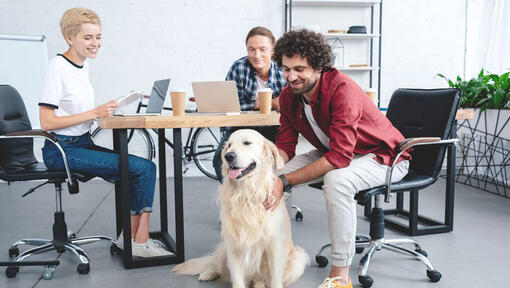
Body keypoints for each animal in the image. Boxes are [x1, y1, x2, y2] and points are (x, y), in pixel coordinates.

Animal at [171, 129, 308, 286]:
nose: (228, 156)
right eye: (229, 145)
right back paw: (207, 274)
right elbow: (236, 277)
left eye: (247, 143)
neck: (246, 193)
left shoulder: (274, 245)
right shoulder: (233, 244)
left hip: (298, 259)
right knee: (218, 266)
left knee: (260, 279)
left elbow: (274, 278)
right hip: (224, 248)